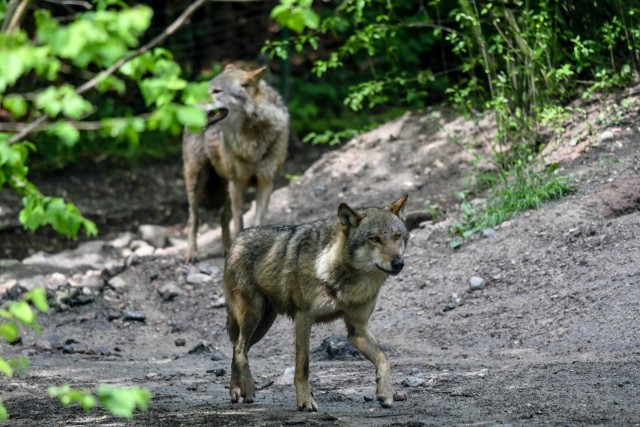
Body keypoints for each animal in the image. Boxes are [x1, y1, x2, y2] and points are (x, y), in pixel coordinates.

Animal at [181, 63, 288, 260]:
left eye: (216, 91)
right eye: (207, 89)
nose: (188, 106)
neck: (252, 135)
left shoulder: (265, 183)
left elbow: (258, 220)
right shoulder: (238, 183)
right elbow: (239, 222)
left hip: (227, 186)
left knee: (223, 217)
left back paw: (226, 249)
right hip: (197, 181)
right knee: (194, 219)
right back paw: (192, 253)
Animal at [222, 196, 408, 412]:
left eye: (397, 236)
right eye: (375, 239)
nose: (398, 263)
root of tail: (236, 240)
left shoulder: (357, 329)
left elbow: (383, 358)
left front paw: (386, 393)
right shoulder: (304, 318)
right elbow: (303, 366)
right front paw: (305, 401)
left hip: (263, 325)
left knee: (237, 348)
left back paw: (236, 391)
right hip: (253, 316)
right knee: (239, 348)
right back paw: (248, 389)